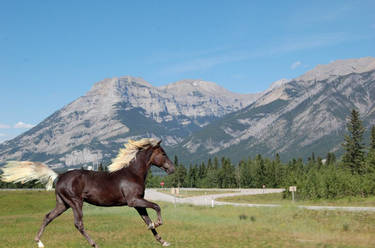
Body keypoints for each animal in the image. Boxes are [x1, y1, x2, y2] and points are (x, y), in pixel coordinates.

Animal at [0, 139, 176, 247]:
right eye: (163, 153)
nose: (172, 169)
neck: (132, 173)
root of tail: (59, 176)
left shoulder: (138, 203)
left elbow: (147, 221)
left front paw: (163, 241)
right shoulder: (133, 201)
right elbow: (157, 207)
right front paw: (158, 223)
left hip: (63, 204)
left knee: (48, 217)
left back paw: (39, 242)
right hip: (76, 202)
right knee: (78, 224)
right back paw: (95, 244)